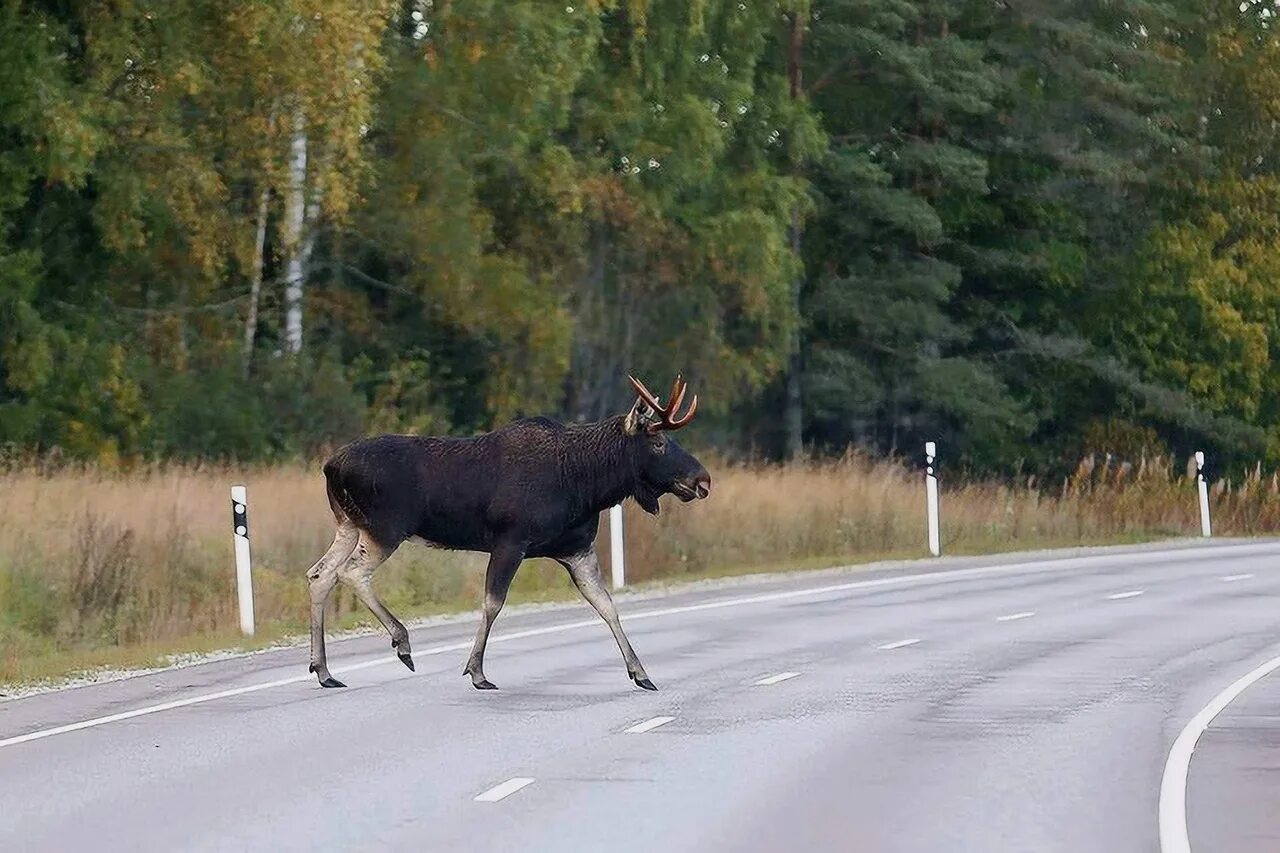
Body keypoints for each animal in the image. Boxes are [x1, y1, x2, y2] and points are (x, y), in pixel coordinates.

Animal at [305, 368, 716, 686]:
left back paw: (324, 670)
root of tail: (330, 466)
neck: (587, 485)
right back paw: (401, 642)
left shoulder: (577, 550)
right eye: (659, 442)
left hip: (349, 525)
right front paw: (476, 671)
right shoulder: (510, 542)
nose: (702, 480)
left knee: (320, 574)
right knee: (351, 573)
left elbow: (607, 606)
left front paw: (640, 672)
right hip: (385, 529)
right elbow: (493, 603)